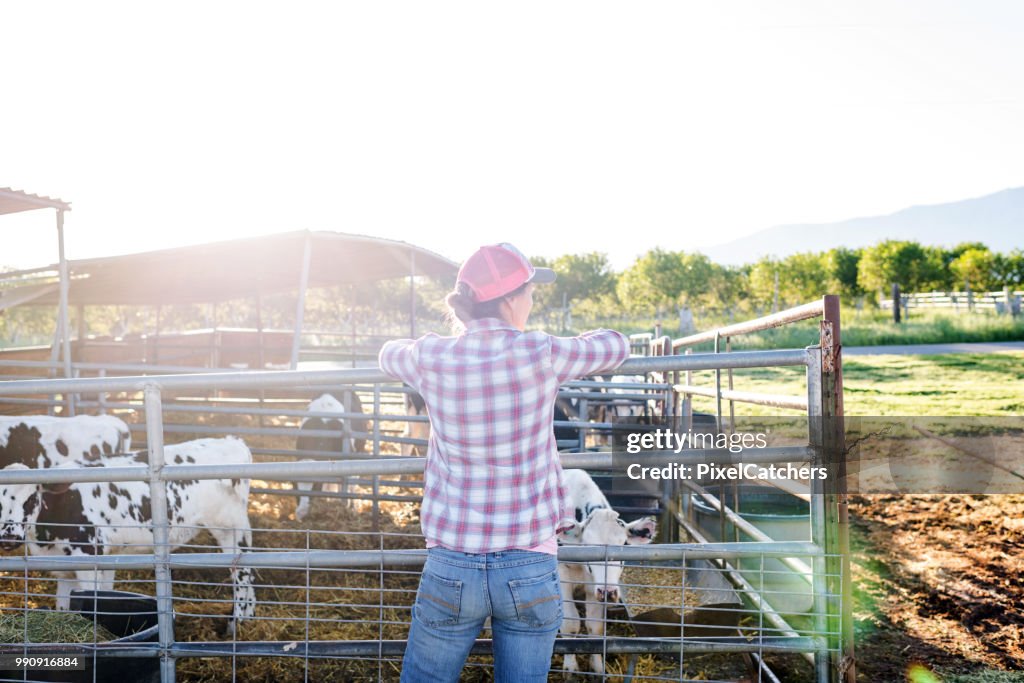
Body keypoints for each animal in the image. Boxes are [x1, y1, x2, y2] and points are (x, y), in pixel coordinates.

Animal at [0, 438, 254, 634]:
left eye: (31, 498)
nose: (8, 537)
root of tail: (231, 441)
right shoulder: (66, 567)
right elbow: (67, 606)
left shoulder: (88, 557)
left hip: (230, 527)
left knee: (242, 572)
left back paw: (236, 625)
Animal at [557, 466, 659, 675]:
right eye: (588, 546)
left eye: (624, 545)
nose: (608, 592)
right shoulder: (562, 577)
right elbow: (570, 623)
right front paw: (570, 668)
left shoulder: (593, 587)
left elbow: (594, 627)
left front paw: (597, 667)